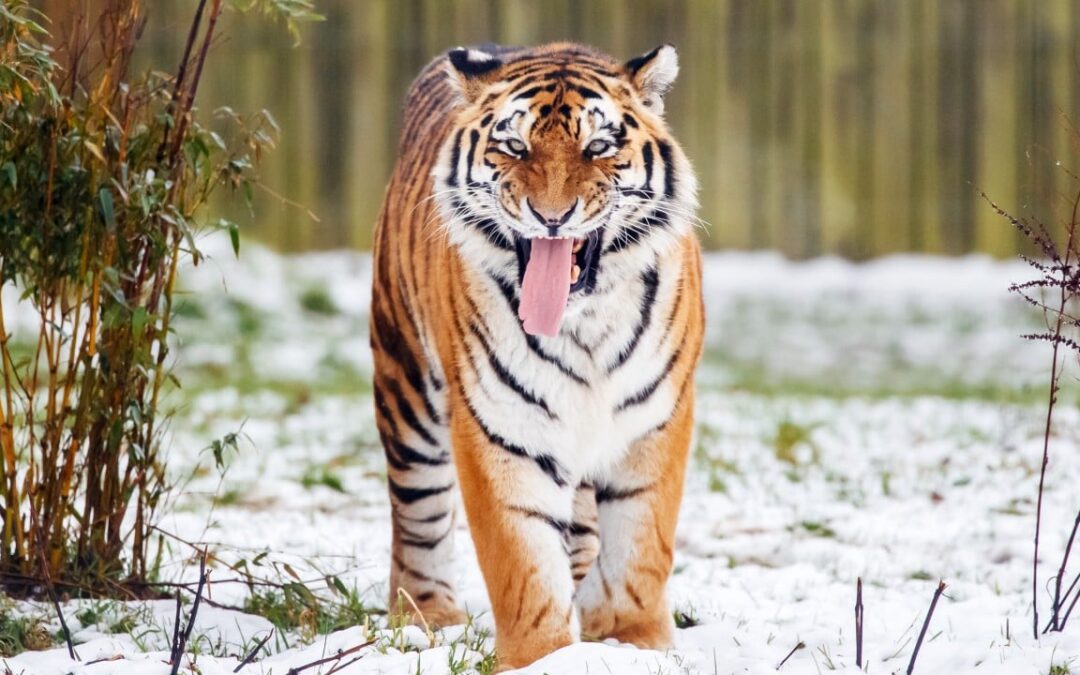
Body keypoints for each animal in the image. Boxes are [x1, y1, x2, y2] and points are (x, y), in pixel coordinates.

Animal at [369, 42, 704, 670]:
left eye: (598, 147)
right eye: (514, 146)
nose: (552, 216)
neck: (584, 322)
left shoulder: (655, 418)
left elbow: (641, 543)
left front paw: (633, 640)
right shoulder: (500, 426)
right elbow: (522, 560)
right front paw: (542, 657)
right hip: (406, 386)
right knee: (418, 512)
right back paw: (427, 616)